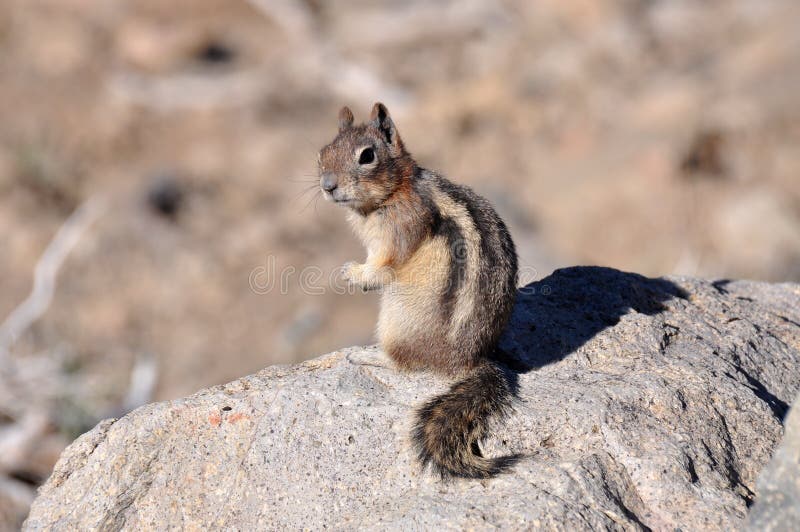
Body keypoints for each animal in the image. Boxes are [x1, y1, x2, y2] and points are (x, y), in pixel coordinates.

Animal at [318, 102, 520, 476]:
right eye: (323, 152)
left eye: (367, 156)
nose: (327, 186)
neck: (396, 190)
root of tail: (466, 362)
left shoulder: (399, 230)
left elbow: (384, 265)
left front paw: (354, 274)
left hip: (396, 318)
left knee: (402, 362)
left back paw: (368, 355)